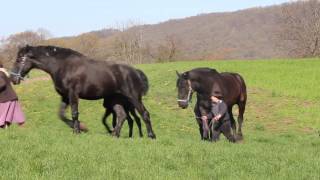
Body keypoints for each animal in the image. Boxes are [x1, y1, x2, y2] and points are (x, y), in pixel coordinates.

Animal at [10, 44, 155, 138]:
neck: (62, 65)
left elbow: (74, 113)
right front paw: (82, 127)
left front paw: (77, 131)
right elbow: (61, 115)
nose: (12, 78)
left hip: (134, 97)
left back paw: (151, 135)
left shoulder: (73, 94)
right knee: (122, 116)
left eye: (19, 59)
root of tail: (135, 71)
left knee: (144, 114)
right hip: (117, 100)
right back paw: (115, 134)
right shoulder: (65, 96)